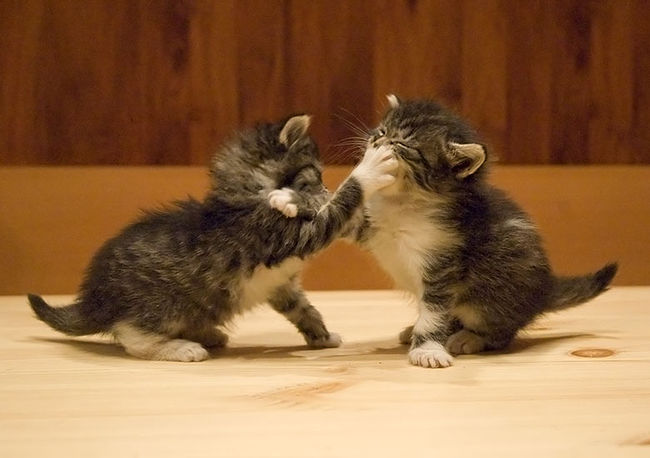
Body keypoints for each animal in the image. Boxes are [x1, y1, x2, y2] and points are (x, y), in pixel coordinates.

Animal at [28, 114, 398, 362]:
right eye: (315, 174)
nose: (323, 188)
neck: (244, 196)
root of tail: (95, 299)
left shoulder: (280, 283)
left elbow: (303, 308)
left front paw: (320, 334)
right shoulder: (282, 233)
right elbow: (342, 202)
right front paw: (369, 169)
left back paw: (207, 333)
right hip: (162, 303)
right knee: (131, 335)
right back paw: (179, 347)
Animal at [271, 96, 617, 369]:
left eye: (402, 145)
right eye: (382, 131)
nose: (375, 142)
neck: (404, 203)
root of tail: (544, 290)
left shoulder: (444, 263)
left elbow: (435, 309)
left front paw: (427, 349)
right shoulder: (370, 225)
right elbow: (340, 210)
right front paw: (289, 199)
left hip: (490, 297)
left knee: (500, 331)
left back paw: (467, 338)